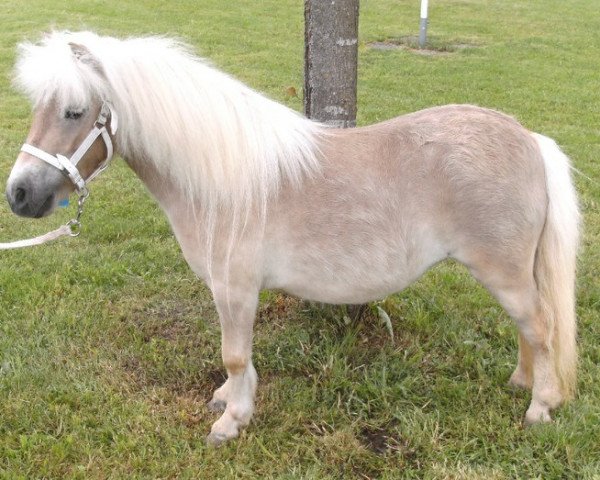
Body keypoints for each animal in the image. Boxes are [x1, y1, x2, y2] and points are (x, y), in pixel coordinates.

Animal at [3, 31, 576, 444]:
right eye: (40, 108)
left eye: (74, 111)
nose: (19, 194)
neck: (223, 182)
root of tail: (529, 139)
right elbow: (236, 360)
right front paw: (227, 399)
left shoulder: (235, 290)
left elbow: (235, 355)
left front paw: (231, 421)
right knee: (530, 329)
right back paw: (522, 383)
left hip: (503, 273)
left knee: (541, 326)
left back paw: (539, 408)